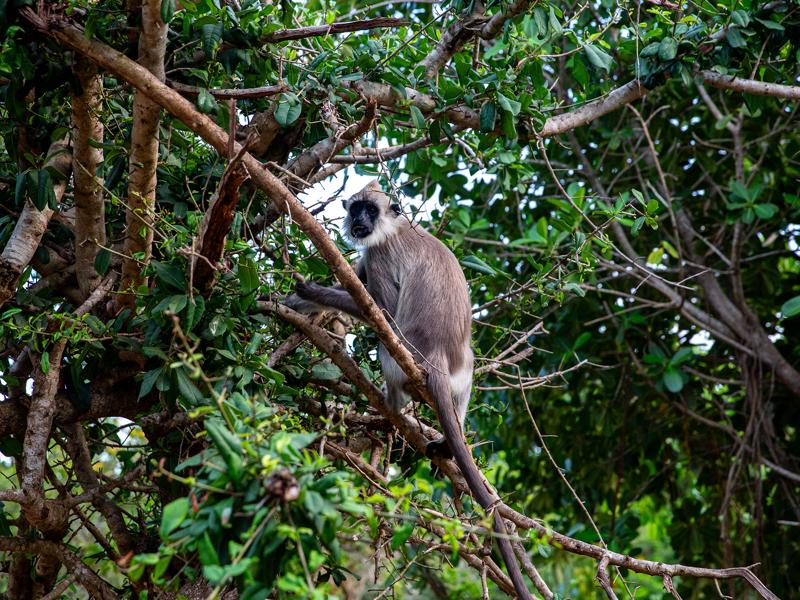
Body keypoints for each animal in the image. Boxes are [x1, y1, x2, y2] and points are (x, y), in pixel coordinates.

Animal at [284, 180, 533, 600]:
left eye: (370, 210)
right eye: (357, 208)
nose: (360, 221)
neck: (394, 227)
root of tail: (434, 359)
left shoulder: (380, 253)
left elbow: (379, 308)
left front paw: (308, 290)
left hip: (406, 352)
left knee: (386, 340)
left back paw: (391, 406)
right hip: (461, 368)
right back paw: (447, 441)